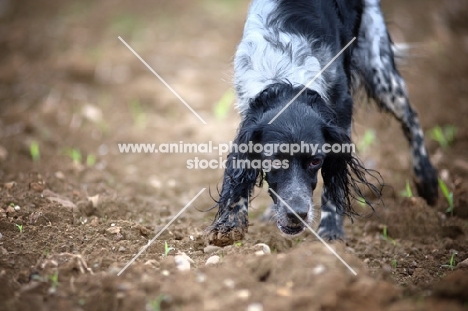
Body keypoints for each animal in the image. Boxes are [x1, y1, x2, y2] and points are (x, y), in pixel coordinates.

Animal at [206, 0, 438, 249]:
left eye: (316, 161)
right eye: (274, 160)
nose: (297, 214)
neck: (286, 75)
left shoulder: (342, 112)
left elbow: (332, 185)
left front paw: (331, 231)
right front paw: (229, 224)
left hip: (379, 69)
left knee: (411, 117)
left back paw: (427, 180)